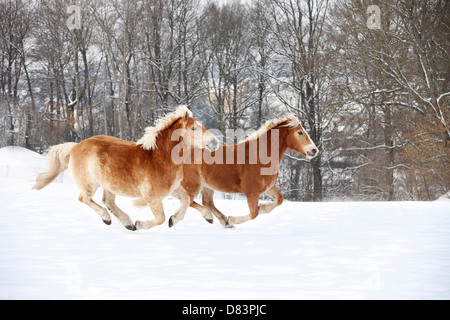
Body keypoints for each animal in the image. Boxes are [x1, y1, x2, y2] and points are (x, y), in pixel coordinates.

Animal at [32, 106, 219, 231]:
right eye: (194, 128)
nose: (215, 142)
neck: (160, 158)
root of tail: (75, 147)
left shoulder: (172, 190)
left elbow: (186, 200)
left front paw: (195, 218)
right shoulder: (152, 198)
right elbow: (160, 218)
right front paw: (141, 224)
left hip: (109, 185)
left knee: (107, 202)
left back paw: (127, 223)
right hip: (90, 184)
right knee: (85, 199)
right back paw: (109, 219)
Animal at [135, 112, 318, 228]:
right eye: (300, 132)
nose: (314, 150)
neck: (260, 154)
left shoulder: (267, 187)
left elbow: (279, 199)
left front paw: (262, 208)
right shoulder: (251, 192)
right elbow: (253, 214)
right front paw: (234, 219)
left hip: (207, 186)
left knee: (205, 202)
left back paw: (221, 220)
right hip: (193, 184)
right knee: (189, 200)